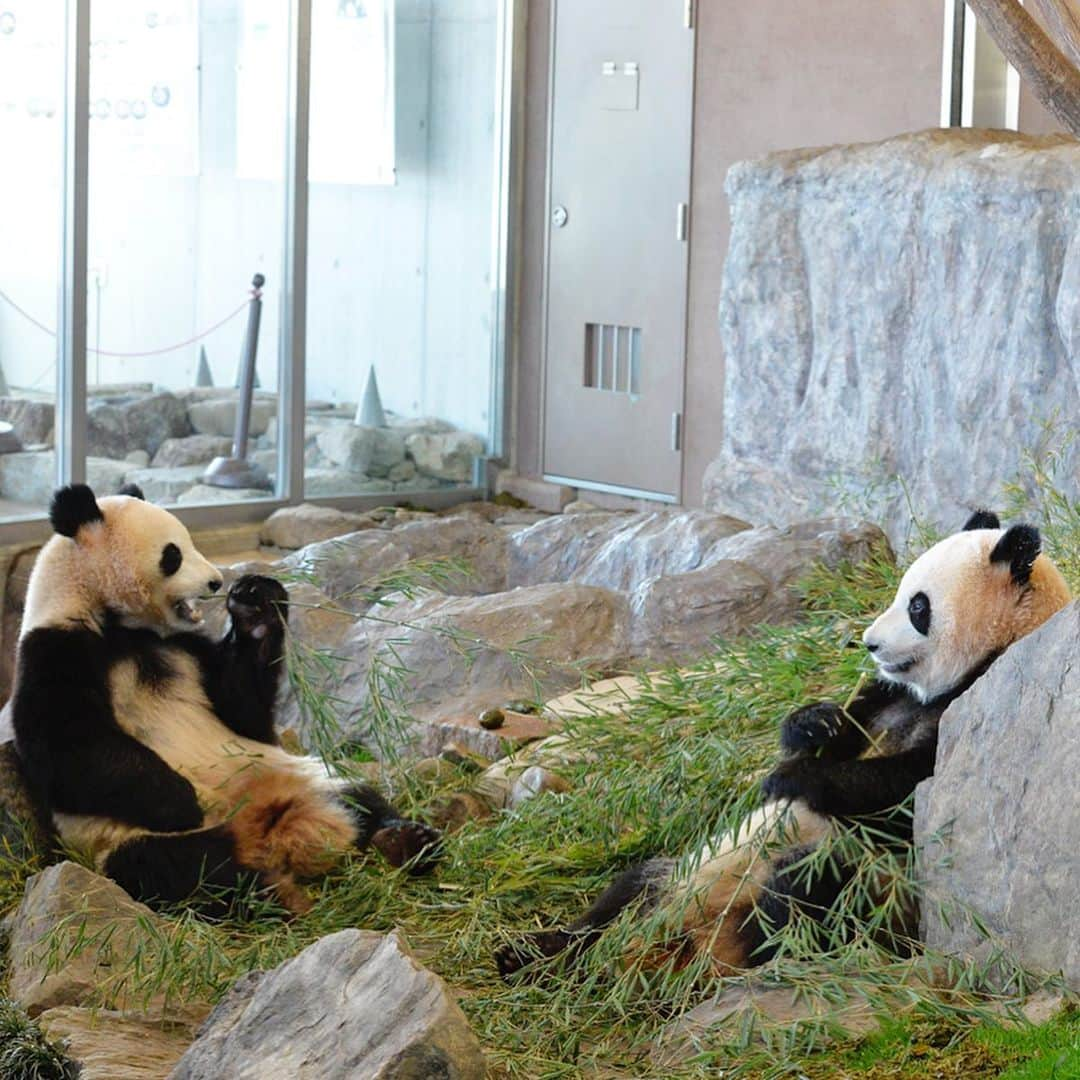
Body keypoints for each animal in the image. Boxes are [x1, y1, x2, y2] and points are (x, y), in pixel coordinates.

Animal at [12, 486, 442, 915]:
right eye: (172, 554)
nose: (217, 582)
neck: (121, 625)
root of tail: (263, 829)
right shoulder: (56, 651)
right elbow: (70, 751)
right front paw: (182, 800)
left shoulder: (187, 648)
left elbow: (243, 708)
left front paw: (257, 605)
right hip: (126, 837)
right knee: (180, 868)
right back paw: (268, 892)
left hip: (299, 772)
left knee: (359, 797)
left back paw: (406, 841)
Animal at [496, 511, 1071, 980]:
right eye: (901, 594)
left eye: (918, 607)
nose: (869, 643)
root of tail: (685, 940)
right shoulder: (884, 696)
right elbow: (839, 730)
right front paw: (813, 725)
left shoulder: (981, 703)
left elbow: (905, 795)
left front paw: (791, 779)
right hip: (686, 870)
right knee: (626, 891)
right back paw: (530, 954)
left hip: (865, 886)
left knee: (809, 892)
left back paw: (764, 937)